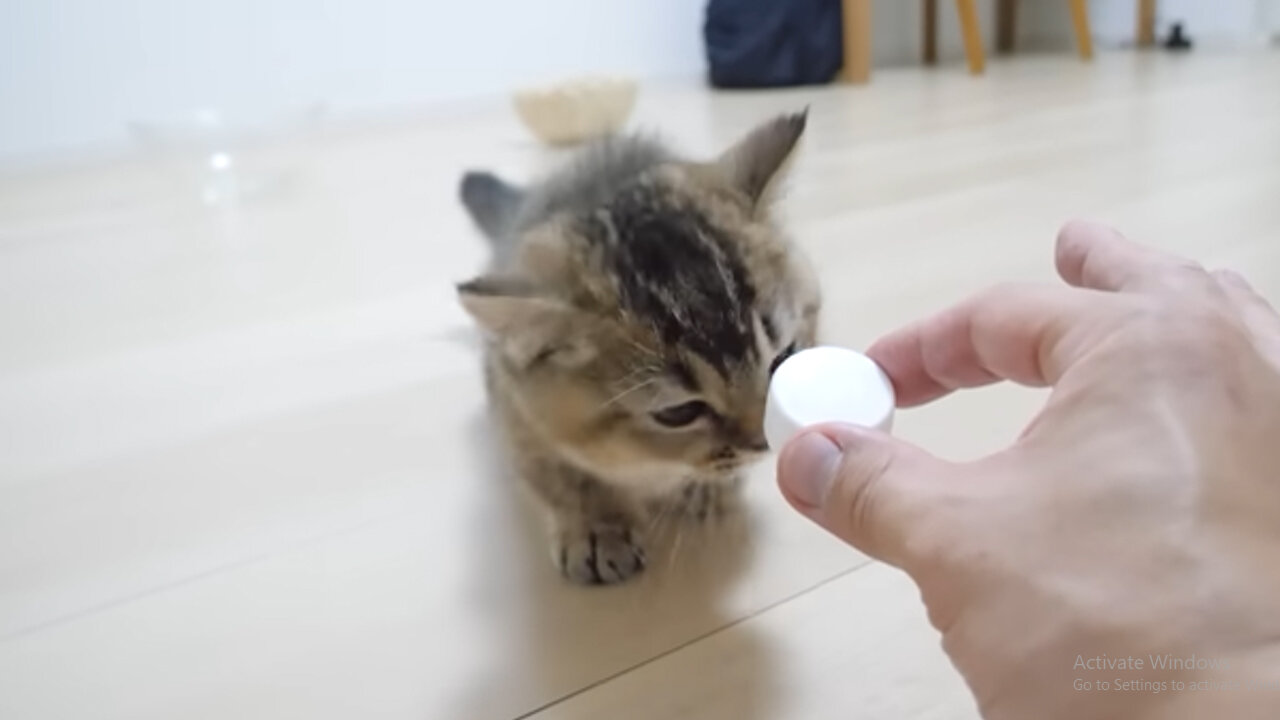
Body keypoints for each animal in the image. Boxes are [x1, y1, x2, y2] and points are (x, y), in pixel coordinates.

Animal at [458, 112, 819, 584]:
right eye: (679, 413)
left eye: (784, 358)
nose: (764, 444)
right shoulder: (513, 402)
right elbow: (559, 471)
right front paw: (597, 527)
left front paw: (705, 488)